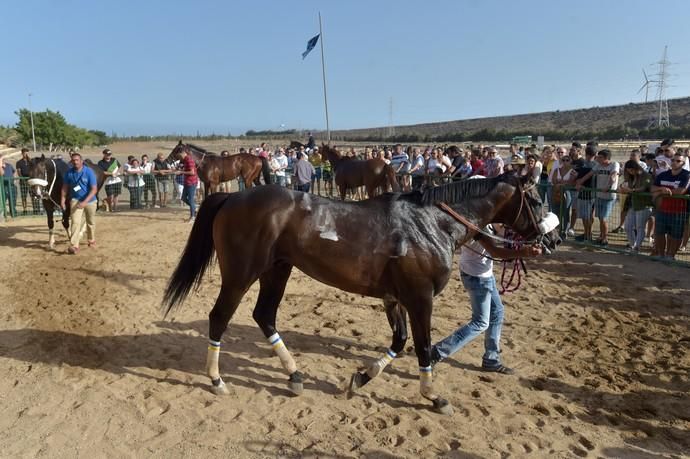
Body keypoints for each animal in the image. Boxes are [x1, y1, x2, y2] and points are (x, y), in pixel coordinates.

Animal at [163, 173, 560, 416]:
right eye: (537, 200)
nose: (553, 238)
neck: (431, 223)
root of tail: (232, 196)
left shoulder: (394, 298)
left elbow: (399, 342)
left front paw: (361, 378)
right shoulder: (420, 298)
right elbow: (423, 346)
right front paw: (433, 396)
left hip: (278, 269)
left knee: (264, 315)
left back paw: (294, 376)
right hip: (240, 274)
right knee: (220, 317)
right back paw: (217, 380)